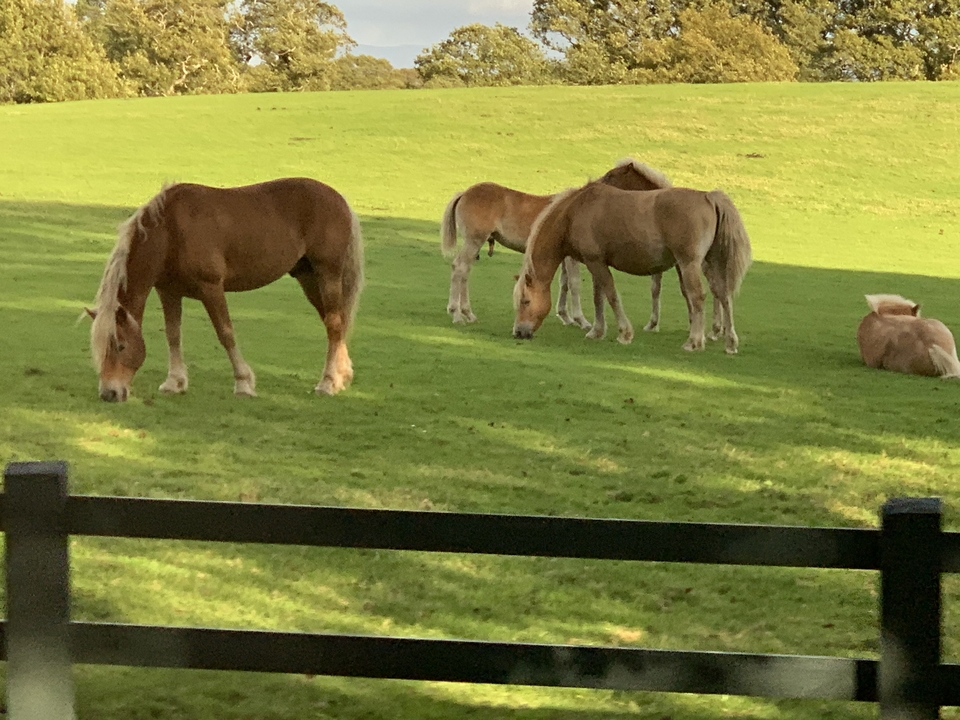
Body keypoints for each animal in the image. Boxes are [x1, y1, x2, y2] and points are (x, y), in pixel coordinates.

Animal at [85, 177, 364, 402]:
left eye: (120, 346)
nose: (109, 394)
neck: (171, 230)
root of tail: (339, 199)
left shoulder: (211, 288)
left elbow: (226, 333)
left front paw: (243, 384)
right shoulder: (168, 291)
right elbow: (173, 334)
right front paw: (174, 382)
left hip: (327, 273)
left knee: (334, 324)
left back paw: (327, 383)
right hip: (307, 277)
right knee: (334, 322)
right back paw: (341, 376)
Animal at [440, 158, 671, 328]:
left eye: (611, 175)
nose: (593, 186)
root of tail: (464, 193)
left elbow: (565, 283)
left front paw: (566, 316)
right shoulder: (571, 258)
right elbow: (575, 283)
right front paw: (581, 320)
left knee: (464, 271)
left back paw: (466, 313)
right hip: (474, 240)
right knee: (460, 268)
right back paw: (457, 314)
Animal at [512, 182, 752, 354]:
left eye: (525, 301)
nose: (518, 332)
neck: (575, 212)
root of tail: (707, 196)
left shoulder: (596, 263)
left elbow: (611, 296)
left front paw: (624, 333)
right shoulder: (595, 263)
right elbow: (599, 298)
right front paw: (596, 331)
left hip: (689, 265)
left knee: (698, 297)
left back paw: (694, 342)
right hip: (712, 263)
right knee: (723, 295)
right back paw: (730, 343)